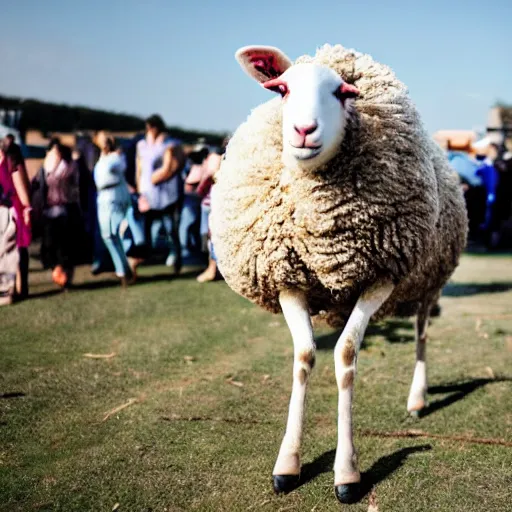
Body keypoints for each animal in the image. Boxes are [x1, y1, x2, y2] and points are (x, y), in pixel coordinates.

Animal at [208, 45, 468, 504]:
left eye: (344, 92)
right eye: (281, 89)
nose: (303, 130)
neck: (323, 227)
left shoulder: (382, 275)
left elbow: (345, 354)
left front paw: (347, 474)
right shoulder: (287, 278)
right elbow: (304, 356)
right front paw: (287, 465)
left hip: (429, 278)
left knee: (421, 331)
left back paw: (418, 398)